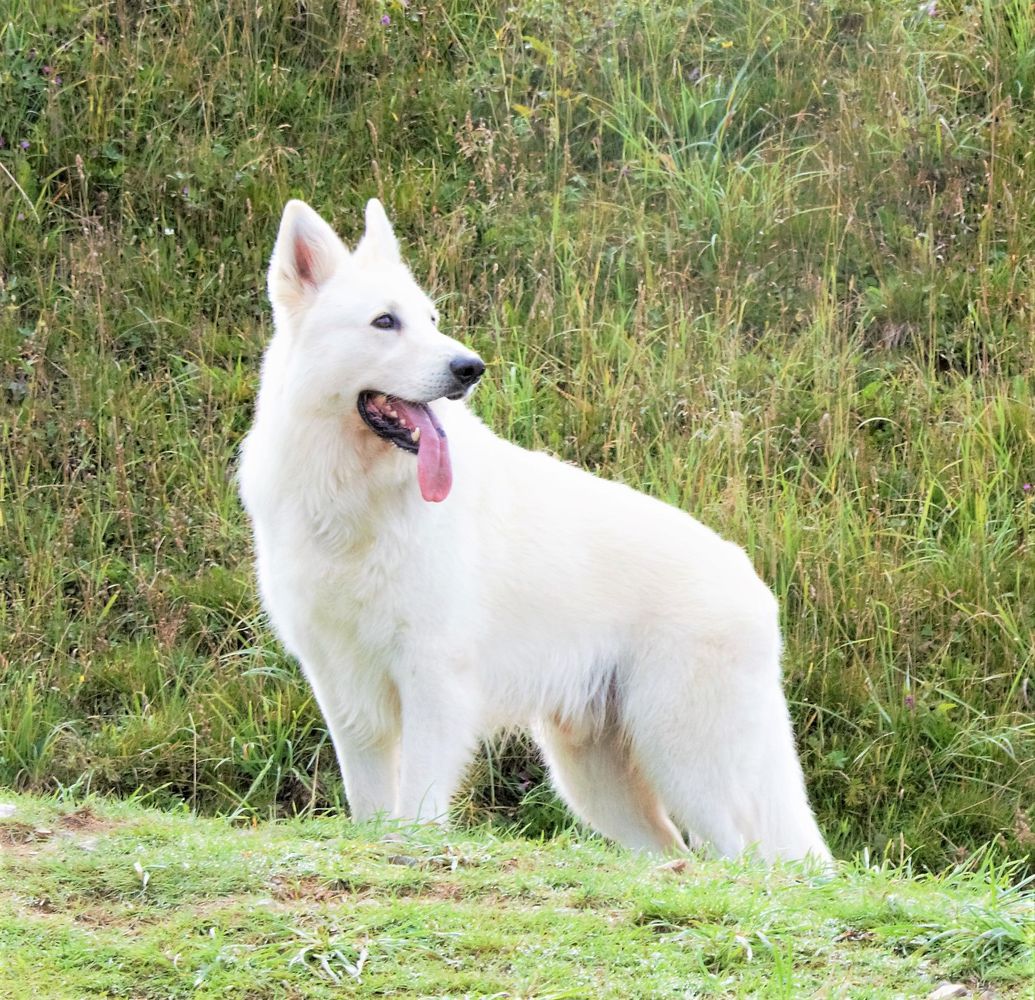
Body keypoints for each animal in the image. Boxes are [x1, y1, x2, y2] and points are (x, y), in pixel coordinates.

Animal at [240, 199, 832, 865]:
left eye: (431, 319)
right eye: (384, 322)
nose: (469, 368)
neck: (359, 499)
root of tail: (751, 579)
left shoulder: (432, 682)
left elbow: (416, 806)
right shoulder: (346, 692)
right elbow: (370, 806)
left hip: (688, 761)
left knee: (748, 855)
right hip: (597, 779)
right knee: (671, 847)